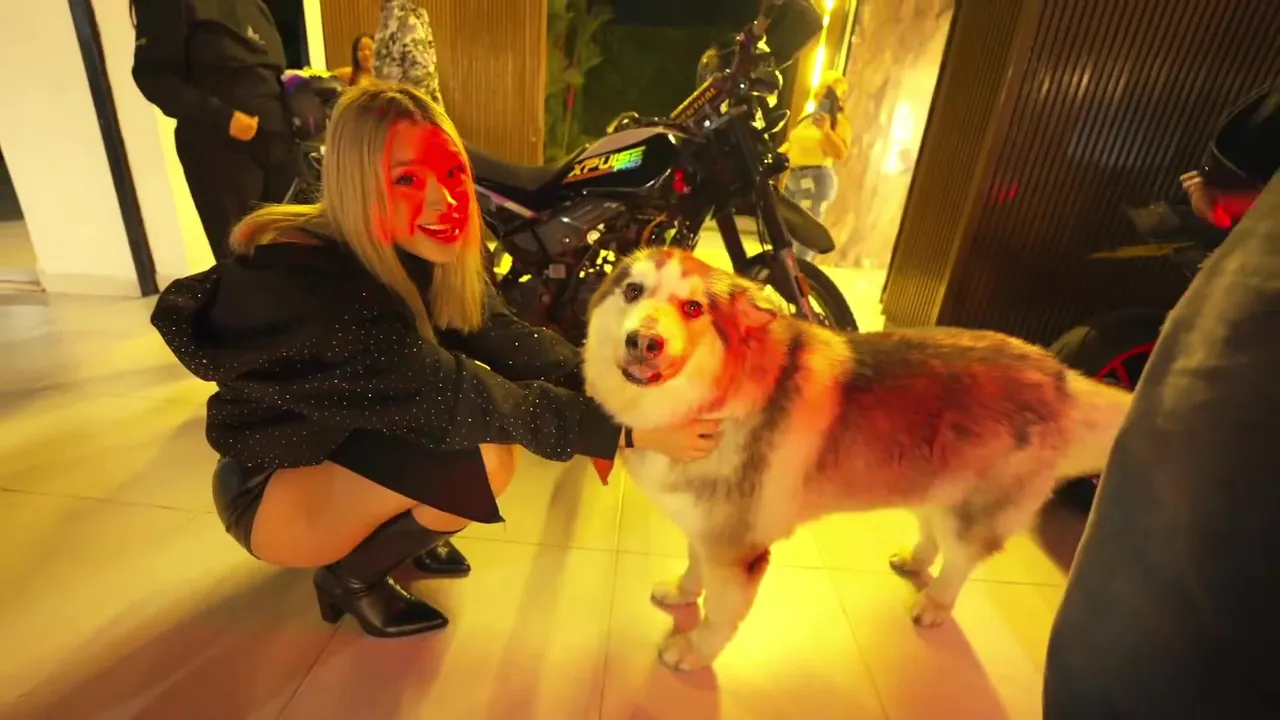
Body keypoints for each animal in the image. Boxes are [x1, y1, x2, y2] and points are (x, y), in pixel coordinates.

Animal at [582, 247, 1132, 672]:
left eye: (693, 307)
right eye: (633, 291)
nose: (643, 342)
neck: (713, 398)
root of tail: (1059, 374)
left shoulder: (737, 547)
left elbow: (719, 613)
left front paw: (693, 652)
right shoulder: (706, 527)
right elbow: (694, 565)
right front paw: (682, 591)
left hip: (973, 510)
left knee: (959, 560)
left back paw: (934, 604)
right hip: (930, 480)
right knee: (934, 534)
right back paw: (915, 560)